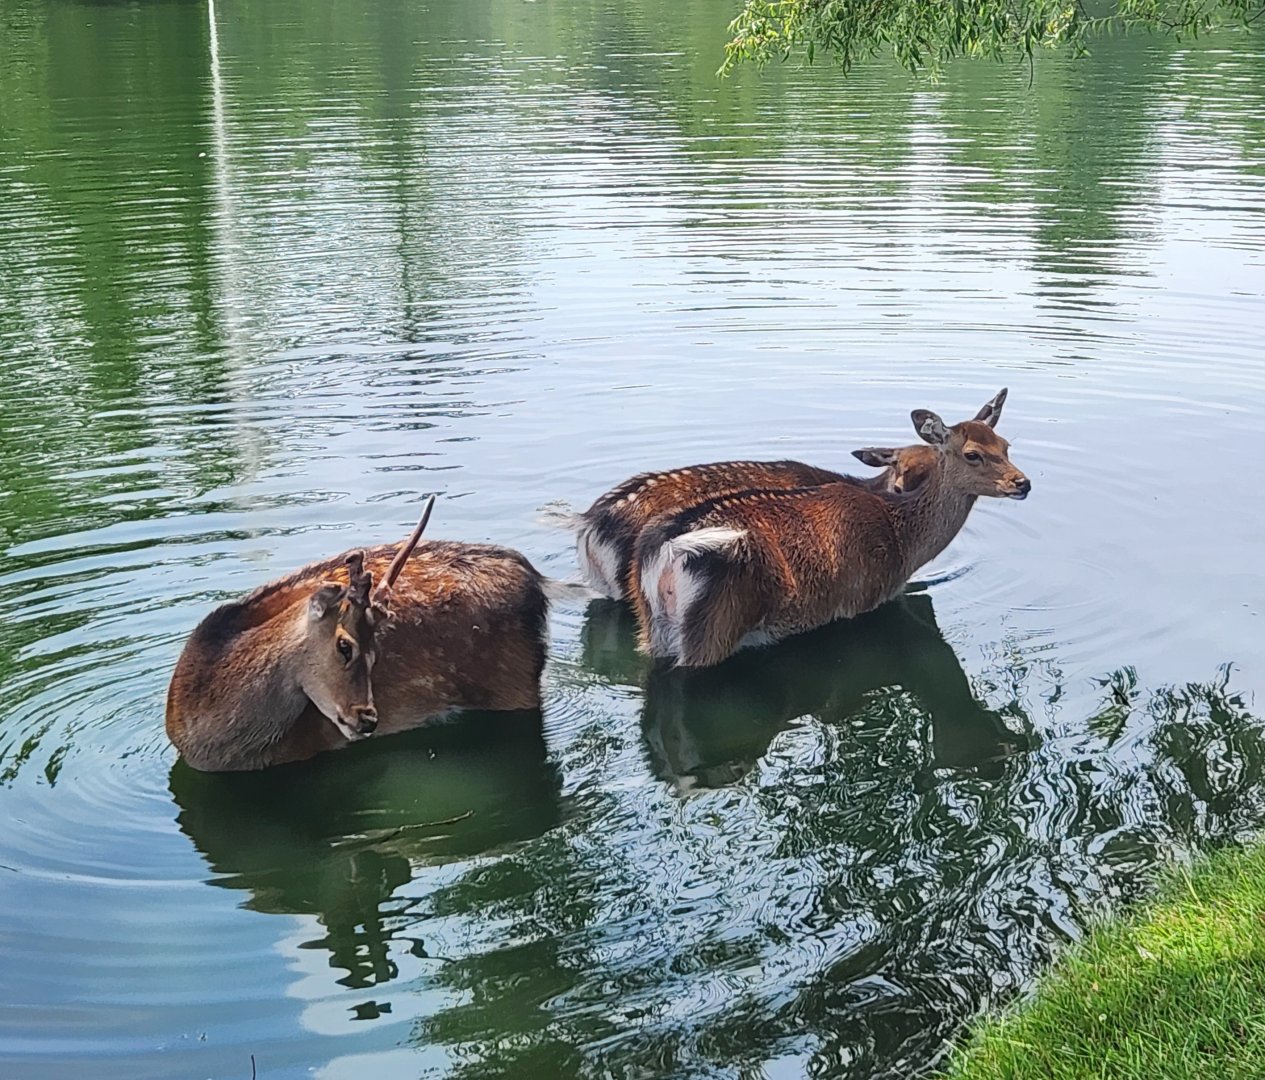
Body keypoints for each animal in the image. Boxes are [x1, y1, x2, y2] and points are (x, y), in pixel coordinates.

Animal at [628, 389, 1029, 668]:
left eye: (1006, 445)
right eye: (973, 454)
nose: (1022, 483)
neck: (903, 542)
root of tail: (664, 552)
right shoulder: (861, 601)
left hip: (653, 629)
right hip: (714, 626)